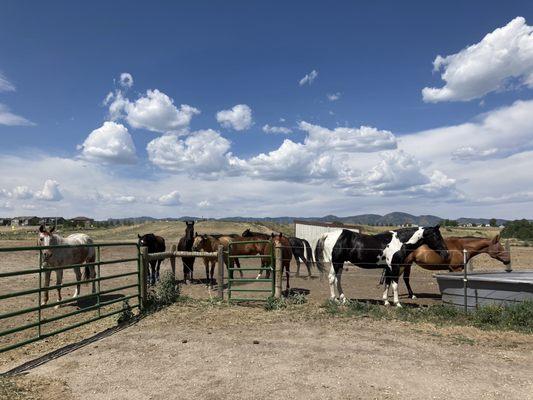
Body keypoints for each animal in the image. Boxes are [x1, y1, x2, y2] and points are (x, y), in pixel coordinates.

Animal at [314, 227, 446, 308]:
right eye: (436, 237)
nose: (446, 253)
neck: (399, 242)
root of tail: (328, 234)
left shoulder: (388, 268)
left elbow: (387, 283)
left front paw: (386, 302)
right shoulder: (394, 267)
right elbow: (395, 285)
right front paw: (397, 304)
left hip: (340, 264)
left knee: (338, 280)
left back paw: (344, 299)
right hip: (336, 263)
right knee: (332, 278)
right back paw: (334, 299)